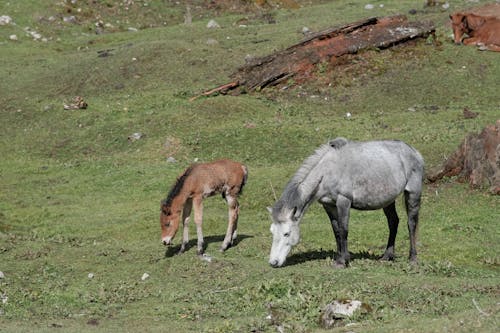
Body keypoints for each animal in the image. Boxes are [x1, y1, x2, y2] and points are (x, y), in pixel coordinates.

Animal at [268, 137, 424, 268]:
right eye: (272, 231)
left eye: (286, 233)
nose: (273, 262)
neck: (328, 171)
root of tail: (414, 152)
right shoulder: (328, 205)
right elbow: (336, 230)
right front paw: (339, 258)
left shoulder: (344, 201)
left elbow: (344, 229)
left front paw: (343, 261)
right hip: (388, 200)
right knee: (393, 222)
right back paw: (387, 256)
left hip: (413, 193)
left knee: (411, 223)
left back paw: (412, 258)